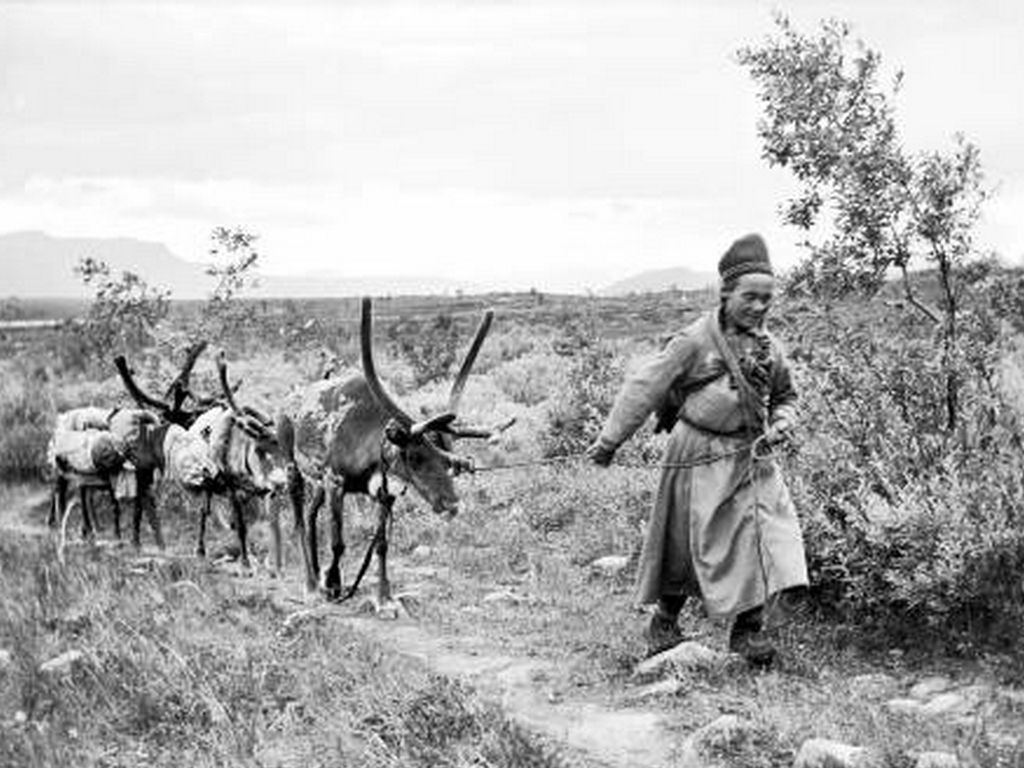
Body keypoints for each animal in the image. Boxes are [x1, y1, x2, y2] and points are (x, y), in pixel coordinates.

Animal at [280, 297, 511, 612]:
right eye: (415, 457)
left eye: (448, 460)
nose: (452, 505)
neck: (368, 444)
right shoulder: (335, 481)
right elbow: (338, 543)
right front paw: (333, 584)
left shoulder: (383, 492)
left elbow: (381, 545)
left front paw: (384, 597)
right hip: (291, 464)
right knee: (299, 519)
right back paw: (311, 584)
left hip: (316, 482)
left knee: (311, 513)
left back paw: (316, 573)